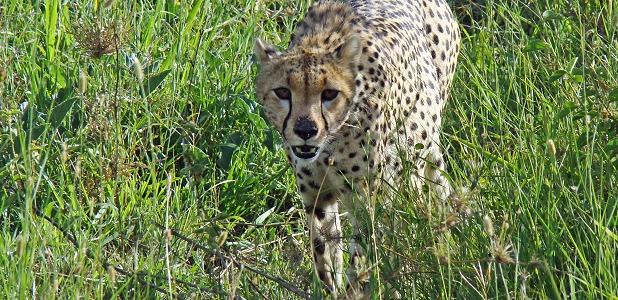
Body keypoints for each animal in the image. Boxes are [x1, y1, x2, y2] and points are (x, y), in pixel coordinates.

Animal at [251, 0, 458, 296]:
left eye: (329, 93)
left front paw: (356, 290)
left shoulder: (366, 201)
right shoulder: (317, 199)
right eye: (282, 92)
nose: (306, 131)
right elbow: (323, 253)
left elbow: (360, 258)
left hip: (417, 159)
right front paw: (329, 290)